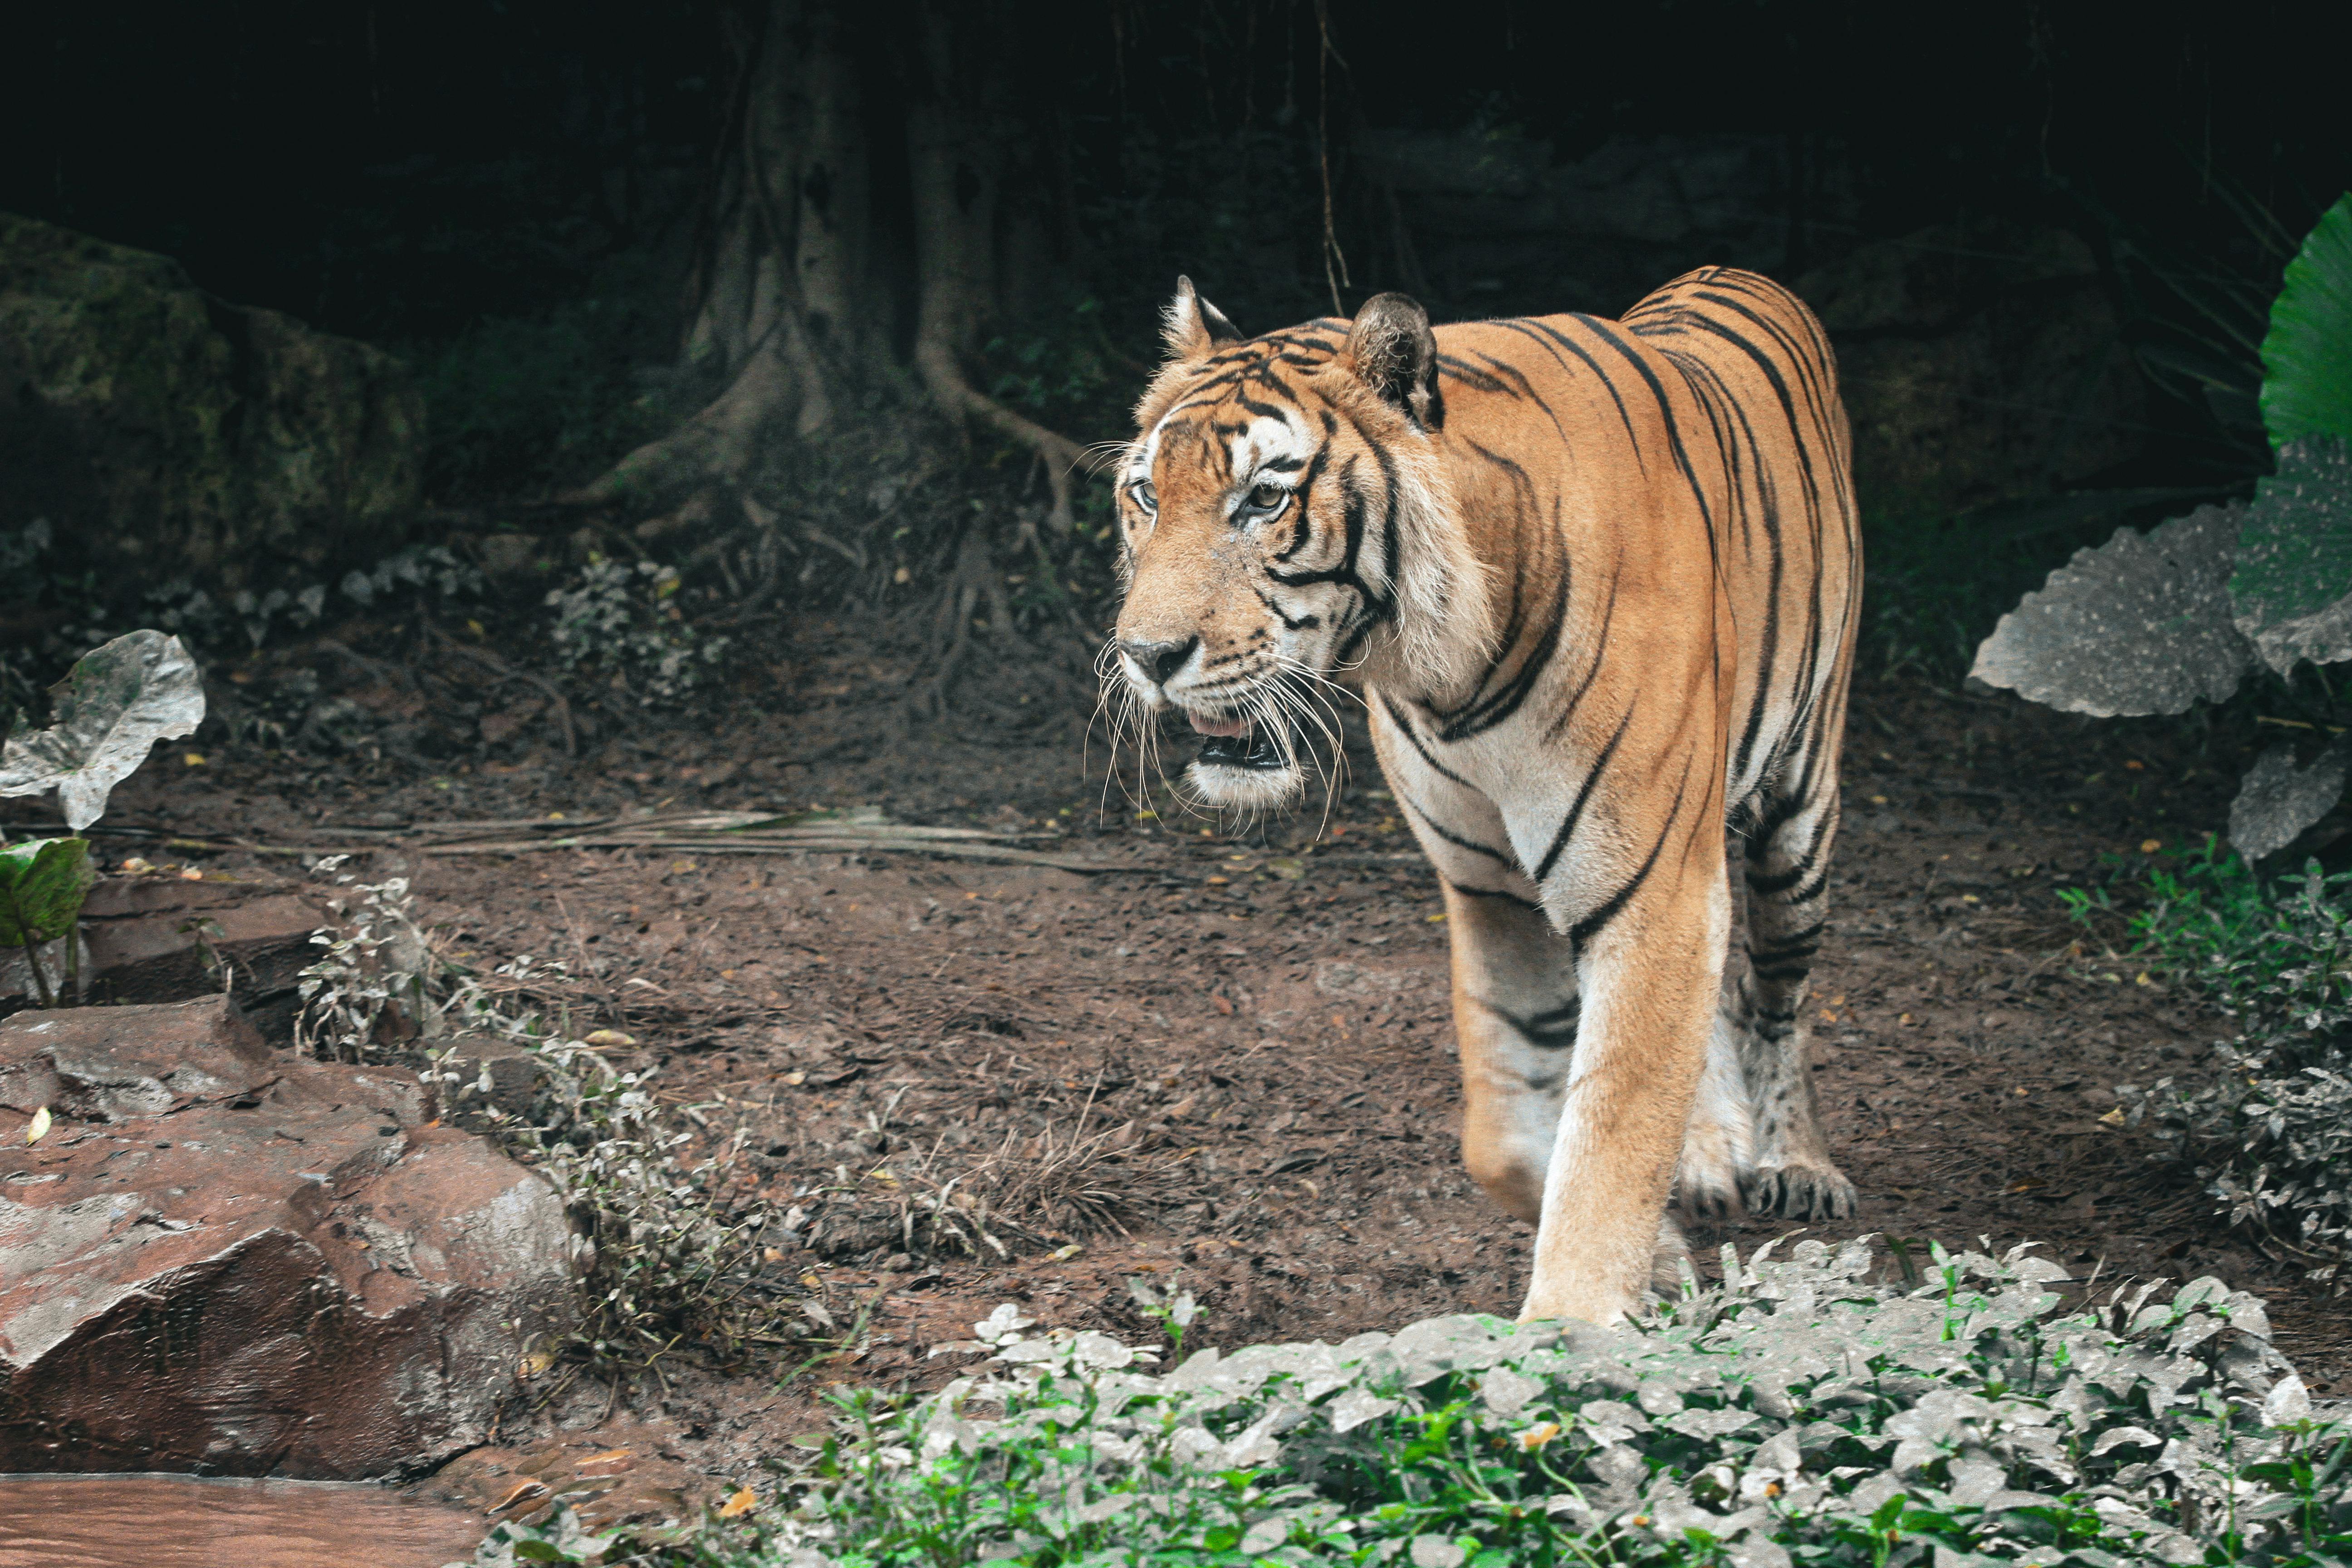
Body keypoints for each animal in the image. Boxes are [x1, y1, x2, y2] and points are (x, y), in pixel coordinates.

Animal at [1110, 270, 1862, 1326]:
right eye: (1146, 493)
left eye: (1263, 499)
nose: (1146, 657)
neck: (1449, 668)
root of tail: (1738, 274)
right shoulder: (1492, 889)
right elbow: (1510, 1138)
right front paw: (1659, 1261)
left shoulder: (1650, 890)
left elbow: (1612, 1124)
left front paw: (1577, 1323)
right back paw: (1710, 1156)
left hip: (1798, 818)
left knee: (1778, 996)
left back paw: (1796, 1162)